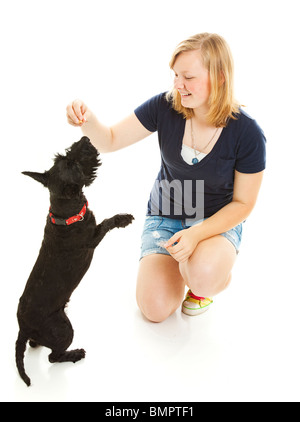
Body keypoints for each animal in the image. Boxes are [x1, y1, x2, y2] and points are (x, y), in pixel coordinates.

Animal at [16, 138, 134, 386]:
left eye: (63, 156)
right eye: (72, 163)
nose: (86, 139)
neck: (64, 215)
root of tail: (22, 328)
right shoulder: (92, 240)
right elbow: (106, 223)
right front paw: (123, 219)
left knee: (36, 344)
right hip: (63, 329)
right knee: (53, 357)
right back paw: (75, 354)